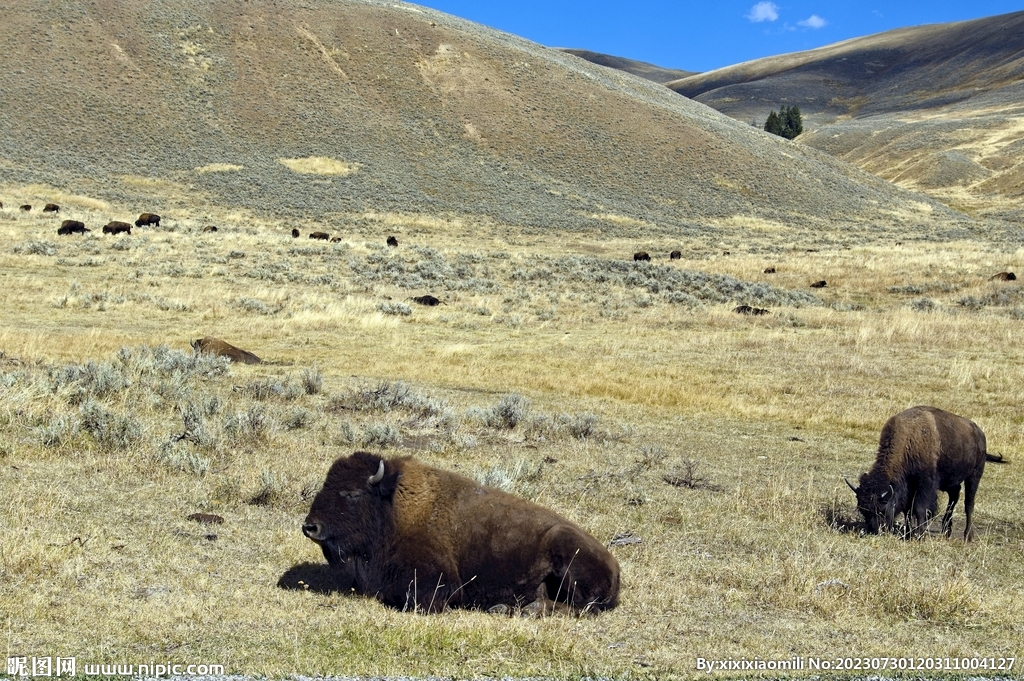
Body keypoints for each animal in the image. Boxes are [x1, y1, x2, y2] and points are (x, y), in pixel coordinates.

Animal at [299, 450, 618, 614]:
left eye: (352, 494)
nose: (310, 527)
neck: (393, 508)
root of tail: (615, 566)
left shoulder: (438, 581)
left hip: (566, 555)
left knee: (579, 607)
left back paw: (521, 609)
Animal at [843, 405, 1003, 540]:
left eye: (882, 509)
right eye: (863, 511)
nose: (874, 530)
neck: (910, 441)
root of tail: (980, 434)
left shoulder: (925, 484)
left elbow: (919, 508)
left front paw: (919, 535)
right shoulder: (909, 486)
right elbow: (908, 510)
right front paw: (909, 533)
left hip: (974, 476)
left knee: (968, 504)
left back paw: (967, 536)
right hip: (951, 481)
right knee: (954, 496)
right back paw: (946, 530)